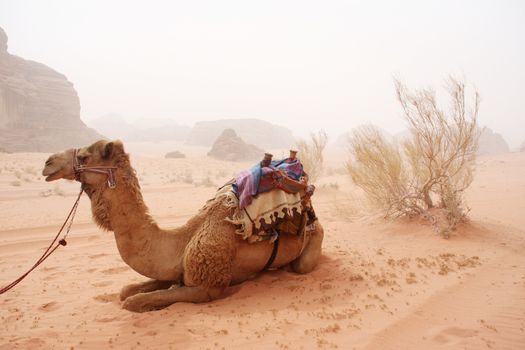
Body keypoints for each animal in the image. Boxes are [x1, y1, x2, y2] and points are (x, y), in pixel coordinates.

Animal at [41, 139, 322, 312]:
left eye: (85, 156)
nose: (47, 163)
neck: (182, 242)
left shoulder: (207, 288)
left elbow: (133, 302)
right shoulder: (173, 269)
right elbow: (127, 290)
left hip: (311, 246)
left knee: (301, 266)